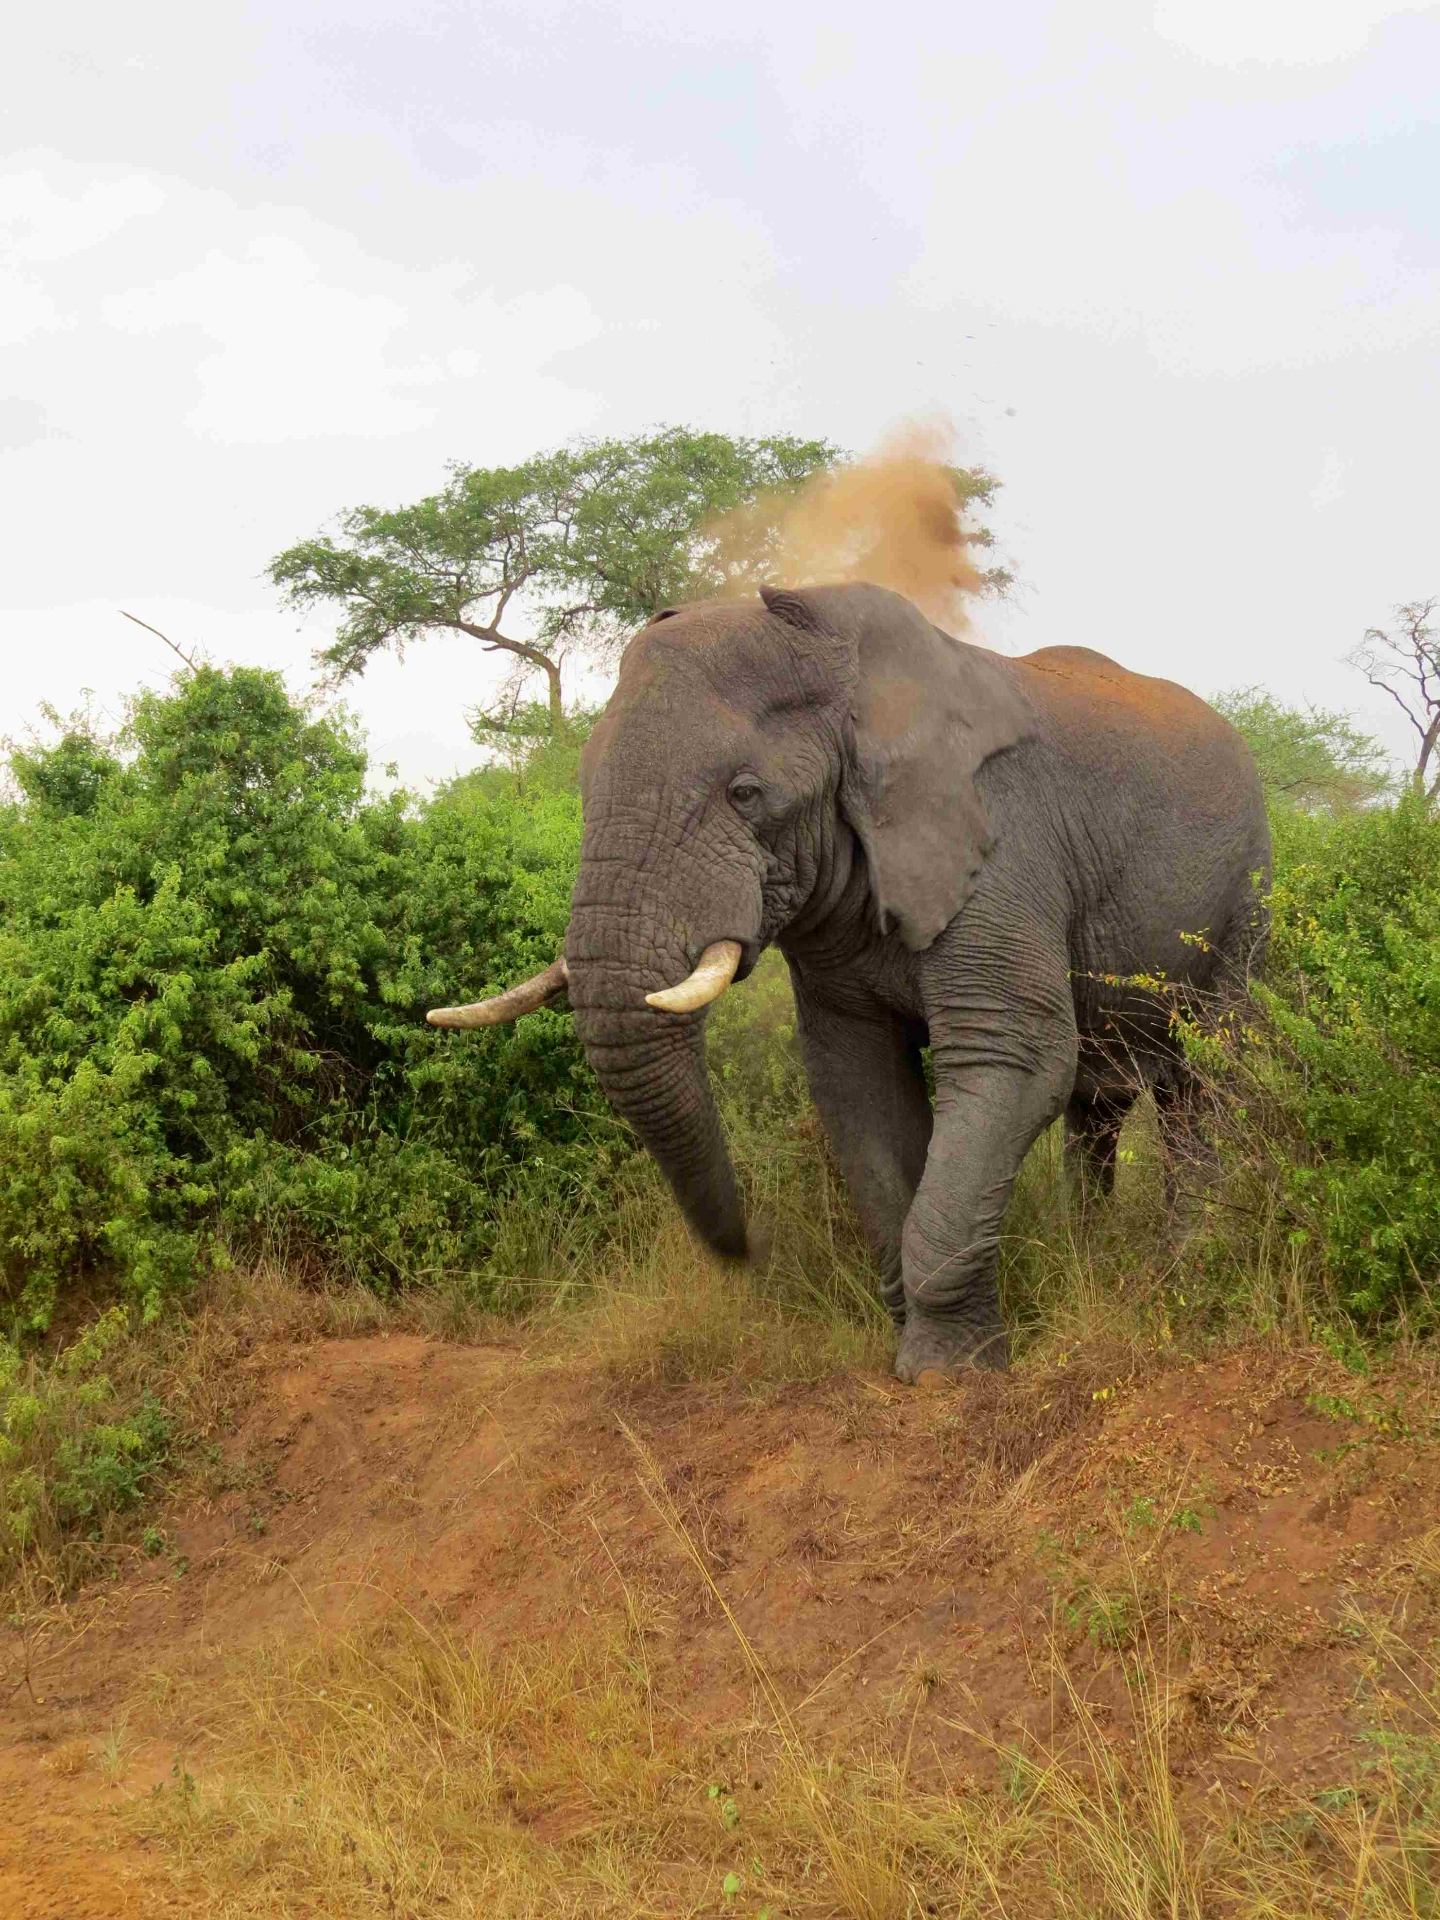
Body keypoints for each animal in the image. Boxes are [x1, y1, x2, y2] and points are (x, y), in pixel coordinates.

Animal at [430, 583, 1270, 1384]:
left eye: (744, 793)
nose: (746, 1257)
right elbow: (859, 1080)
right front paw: (916, 1348)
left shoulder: (1002, 842)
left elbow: (1014, 1055)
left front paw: (946, 1375)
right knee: (1100, 1104)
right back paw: (1092, 1261)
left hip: (1247, 894)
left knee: (1206, 1078)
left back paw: (1181, 1275)